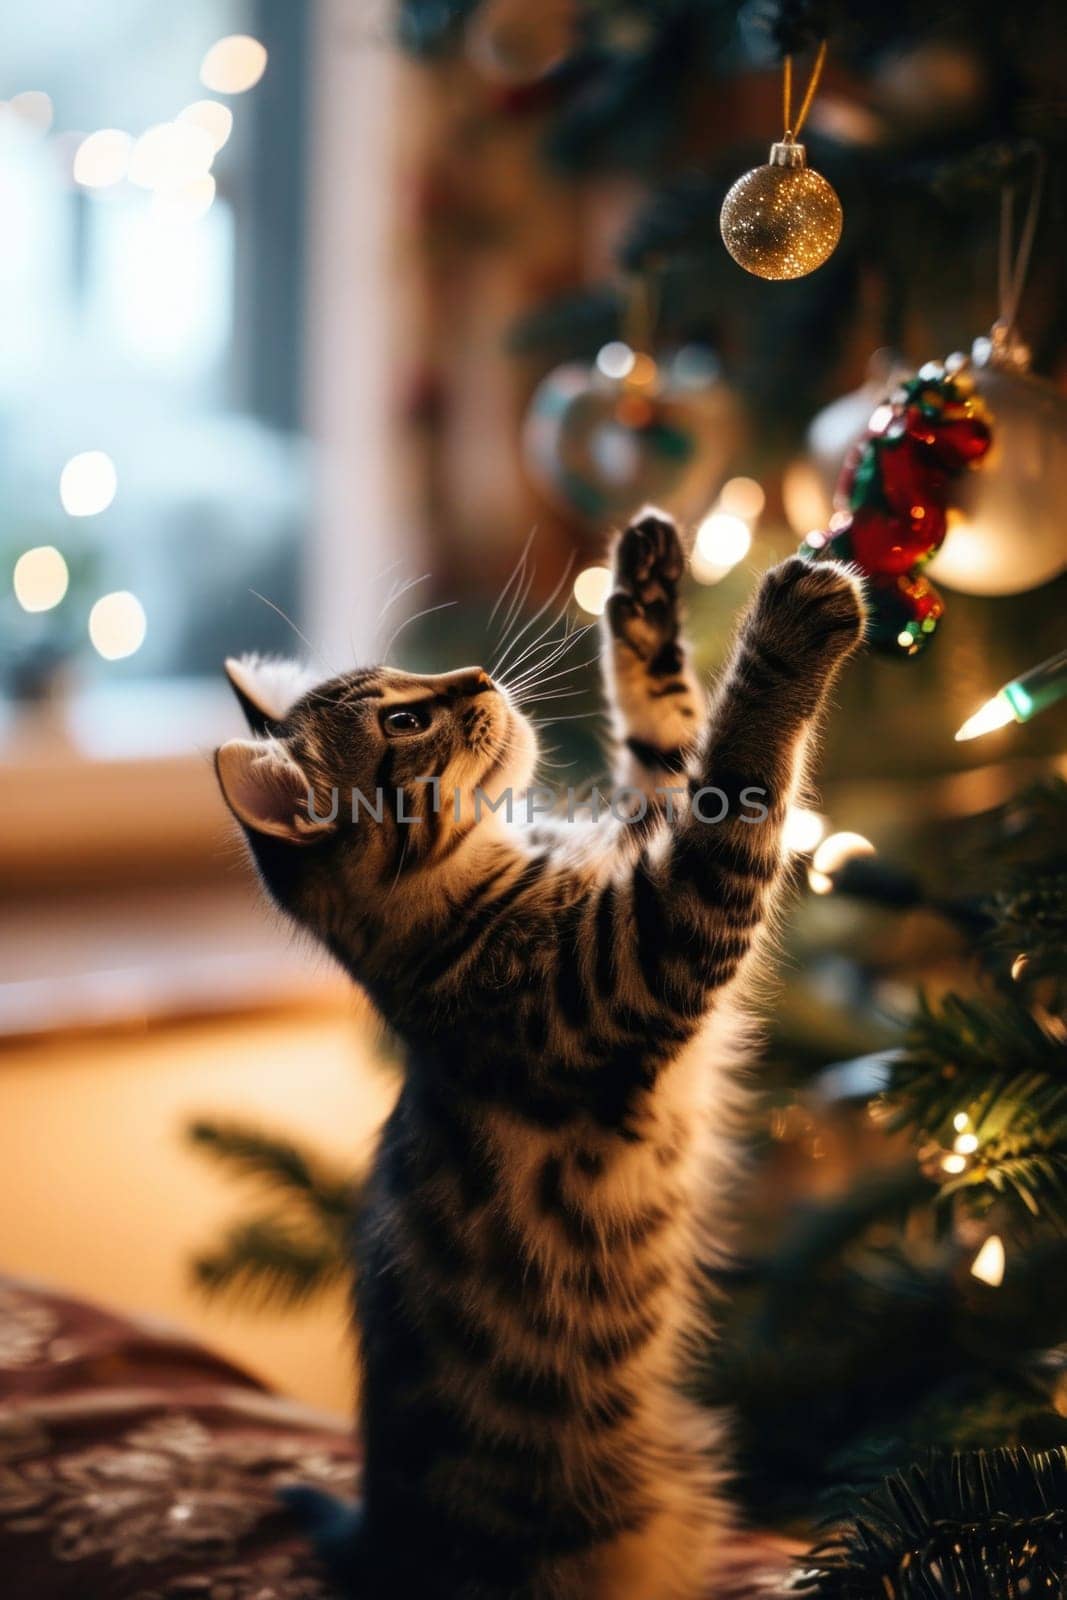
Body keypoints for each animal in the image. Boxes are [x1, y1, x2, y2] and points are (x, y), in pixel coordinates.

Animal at [214, 515, 870, 1600]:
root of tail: (379, 1542)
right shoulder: (649, 946)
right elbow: (732, 777)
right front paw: (785, 630)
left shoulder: (647, 847)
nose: (476, 673)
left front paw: (643, 595)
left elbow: (668, 745)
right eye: (403, 720)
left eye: (408, 676)